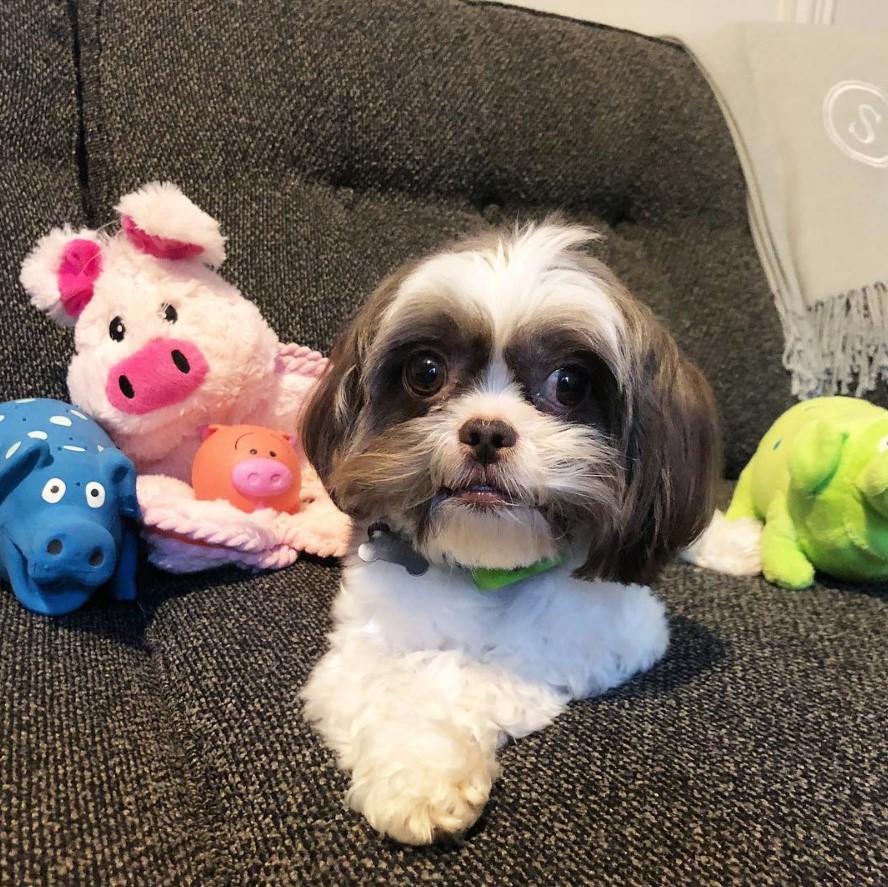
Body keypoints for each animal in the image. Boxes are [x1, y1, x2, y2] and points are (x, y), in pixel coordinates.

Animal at [302, 222, 720, 848]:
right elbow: (390, 686)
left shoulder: (622, 628)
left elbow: (501, 667)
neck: (488, 567)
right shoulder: (362, 644)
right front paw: (422, 775)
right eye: (425, 372)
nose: (486, 431)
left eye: (569, 383)